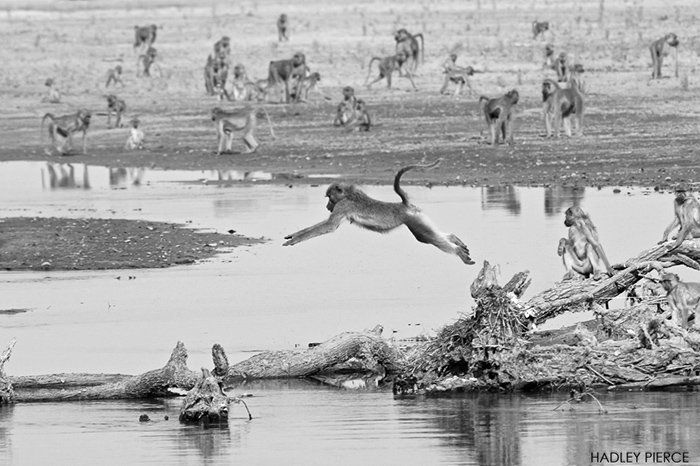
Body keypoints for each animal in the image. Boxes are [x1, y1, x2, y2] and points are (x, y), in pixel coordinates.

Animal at [283, 160, 475, 265]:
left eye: (330, 198)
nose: (327, 206)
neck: (352, 194)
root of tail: (404, 205)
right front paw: (293, 235)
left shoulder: (343, 206)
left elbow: (329, 227)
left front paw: (293, 240)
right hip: (417, 217)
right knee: (430, 236)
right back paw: (455, 240)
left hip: (414, 220)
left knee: (426, 237)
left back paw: (458, 252)